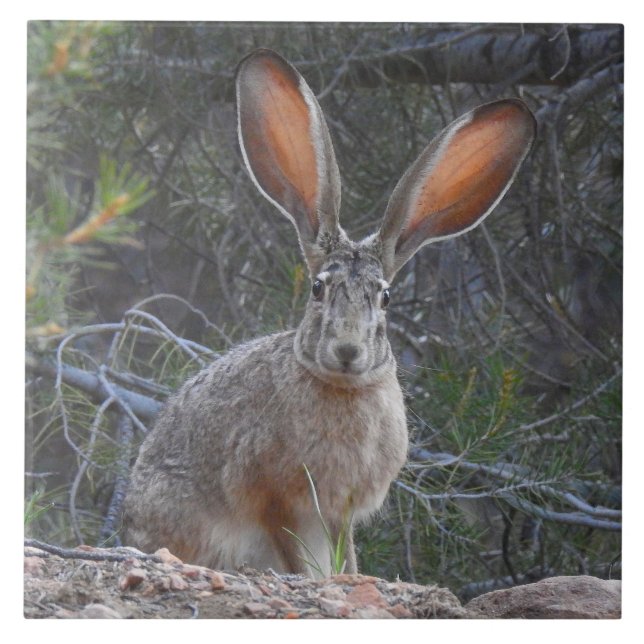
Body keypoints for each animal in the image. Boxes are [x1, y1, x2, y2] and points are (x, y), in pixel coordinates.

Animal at [122, 48, 536, 578]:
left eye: (385, 297)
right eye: (318, 288)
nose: (347, 350)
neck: (342, 388)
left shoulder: (341, 510)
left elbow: (348, 557)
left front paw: (353, 578)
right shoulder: (273, 496)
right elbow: (294, 554)